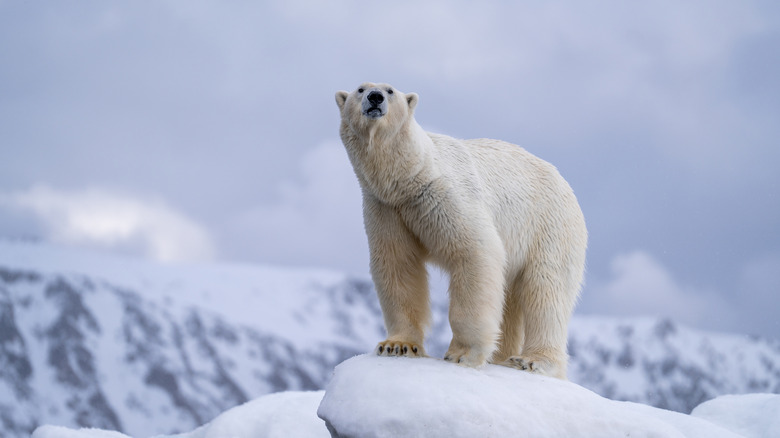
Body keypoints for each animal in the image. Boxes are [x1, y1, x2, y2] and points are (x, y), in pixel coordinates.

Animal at [335, 82, 587, 379]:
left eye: (390, 90)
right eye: (360, 89)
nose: (375, 98)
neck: (408, 177)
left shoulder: (443, 195)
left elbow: (474, 251)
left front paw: (462, 354)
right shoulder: (386, 209)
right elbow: (397, 266)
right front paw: (397, 345)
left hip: (549, 226)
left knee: (546, 289)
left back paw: (532, 360)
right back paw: (502, 357)